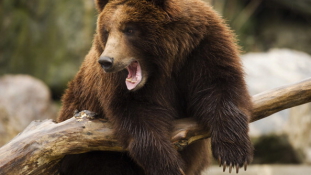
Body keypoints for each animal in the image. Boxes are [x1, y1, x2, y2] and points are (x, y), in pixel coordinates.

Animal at [57, 0, 255, 174]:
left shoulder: (202, 47)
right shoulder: (119, 87)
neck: (165, 63)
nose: (106, 61)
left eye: (129, 29)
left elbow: (219, 86)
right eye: (107, 31)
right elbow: (138, 118)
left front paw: (233, 153)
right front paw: (170, 165)